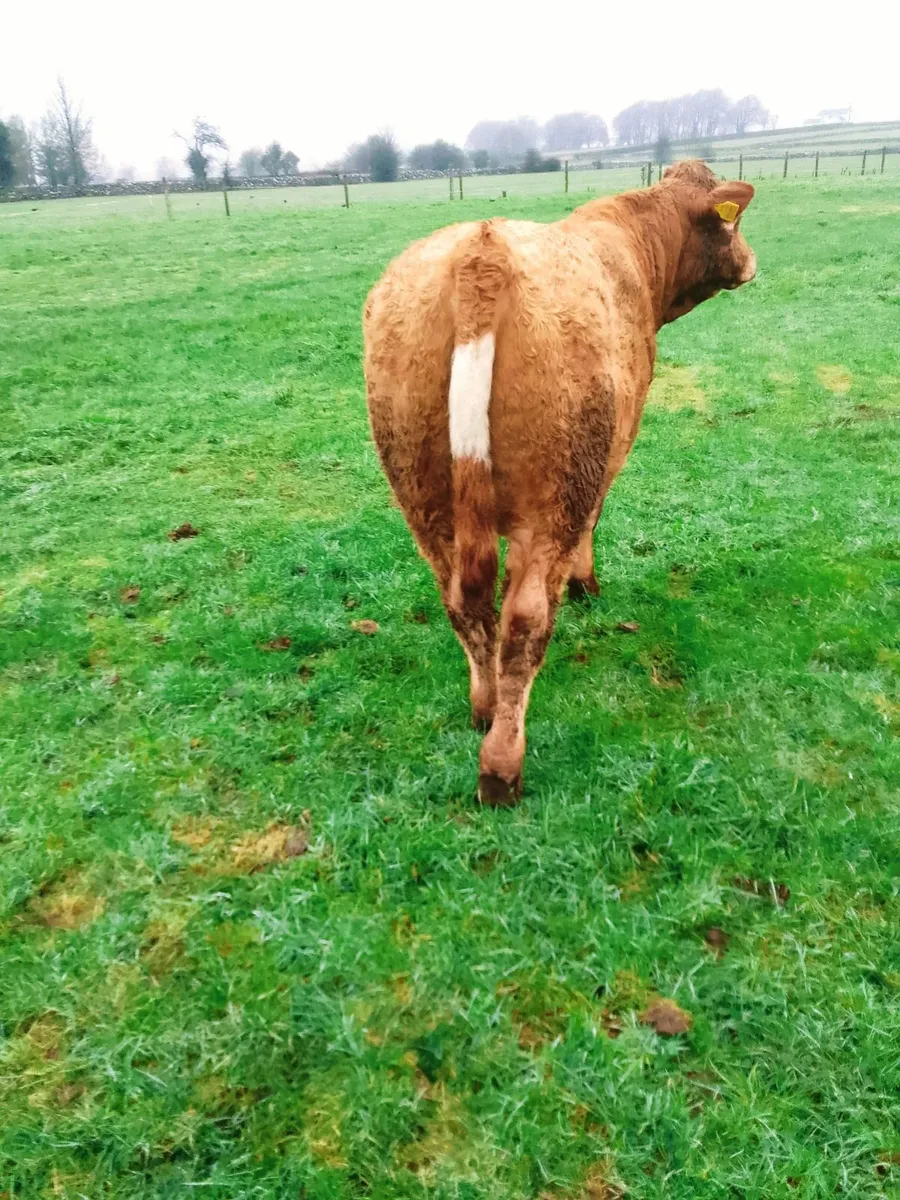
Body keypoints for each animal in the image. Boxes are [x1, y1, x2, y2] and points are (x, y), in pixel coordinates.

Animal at [363, 160, 756, 806]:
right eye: (734, 224)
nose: (750, 262)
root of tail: (482, 250)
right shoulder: (611, 453)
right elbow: (593, 527)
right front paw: (585, 586)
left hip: (421, 493)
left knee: (462, 601)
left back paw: (485, 707)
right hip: (556, 495)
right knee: (525, 619)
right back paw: (502, 767)